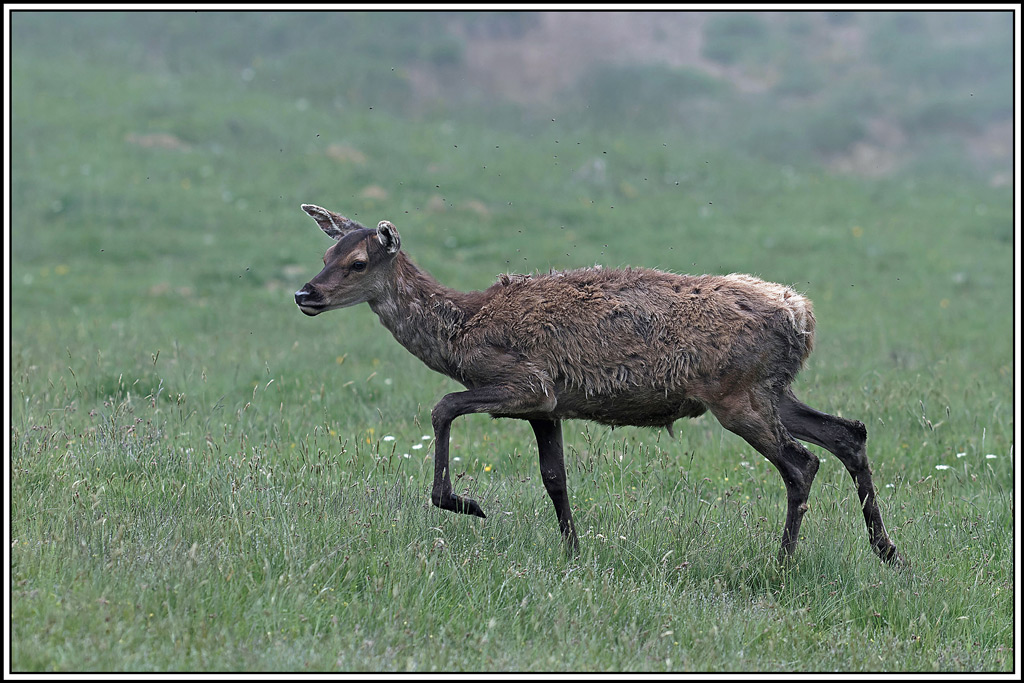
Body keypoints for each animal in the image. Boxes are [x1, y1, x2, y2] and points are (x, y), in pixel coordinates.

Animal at [294, 203, 905, 567]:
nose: (305, 293)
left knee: (802, 462)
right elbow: (555, 478)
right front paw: (573, 551)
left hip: (738, 394)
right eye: (324, 253)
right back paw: (887, 549)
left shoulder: (526, 382)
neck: (462, 333)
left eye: (357, 261)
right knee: (849, 433)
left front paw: (464, 502)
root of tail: (802, 316)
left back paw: (781, 562)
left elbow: (443, 407)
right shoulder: (549, 407)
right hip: (773, 390)